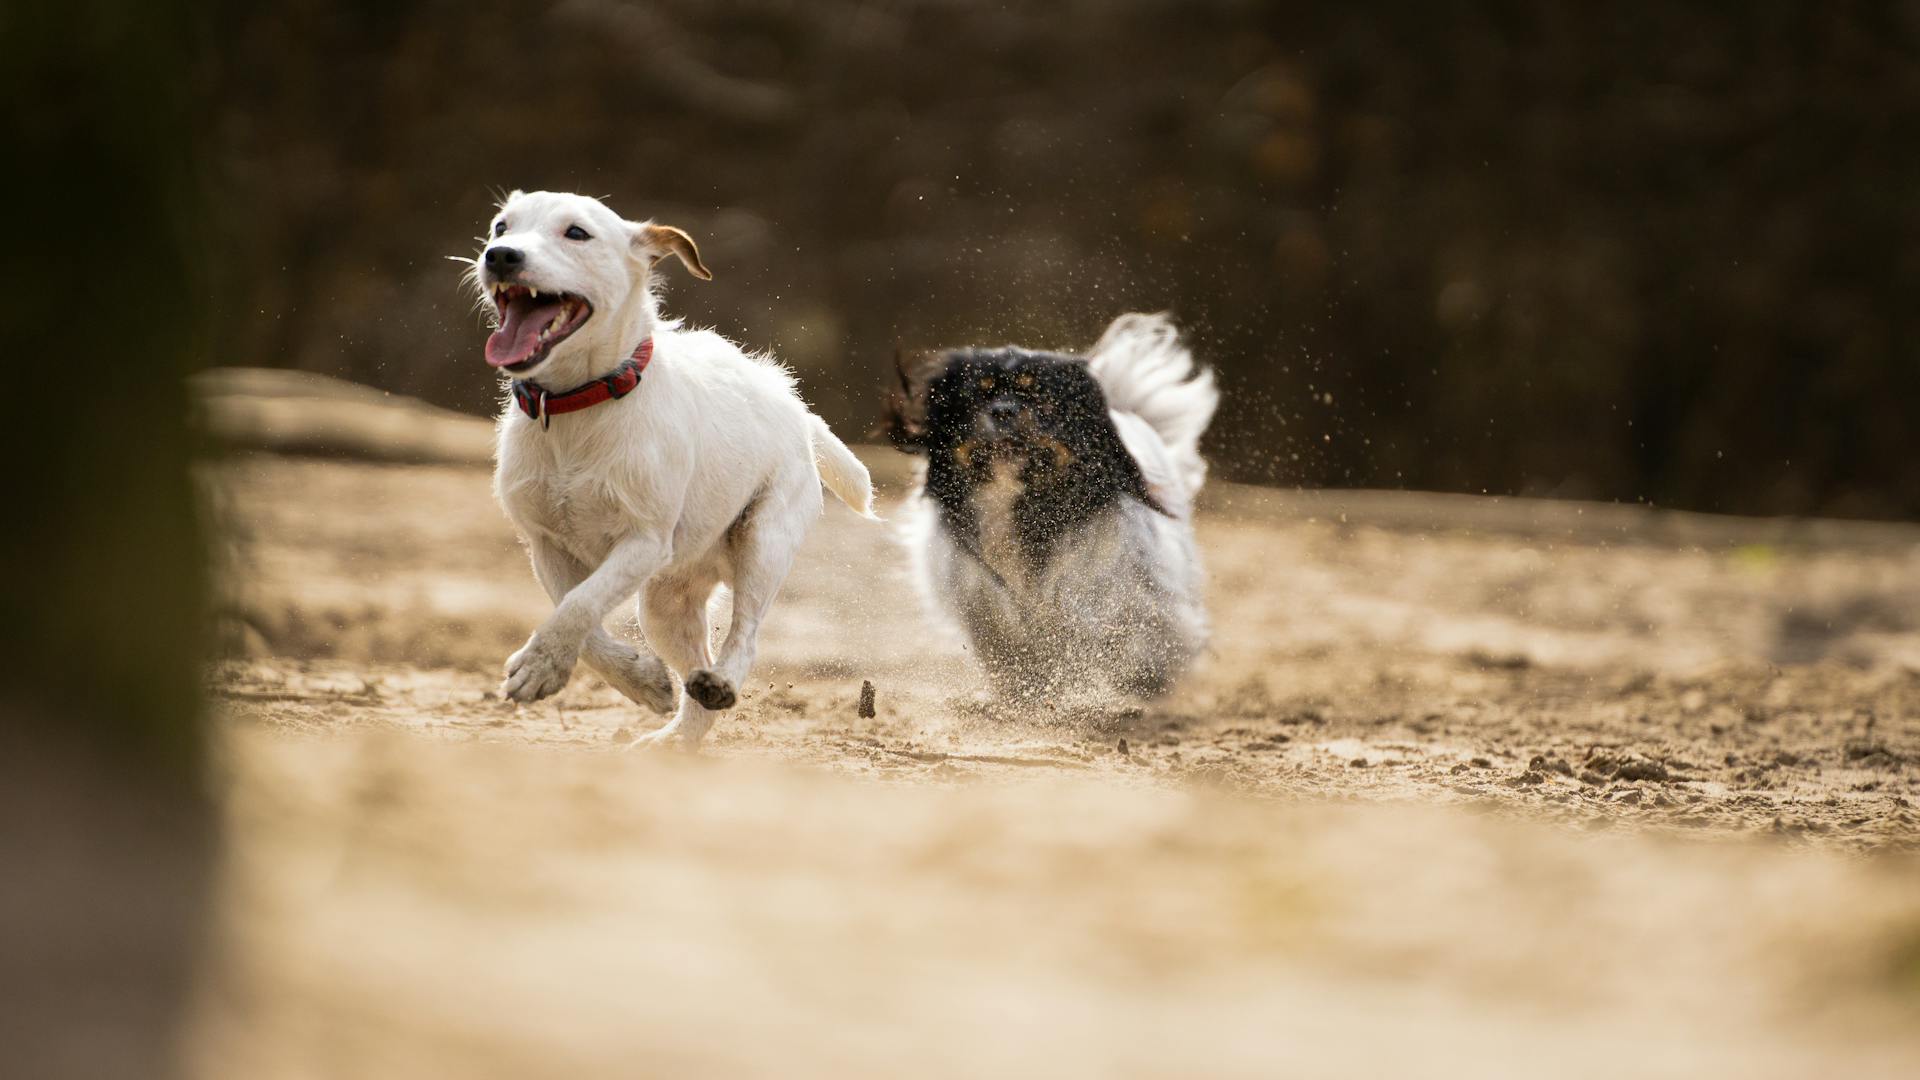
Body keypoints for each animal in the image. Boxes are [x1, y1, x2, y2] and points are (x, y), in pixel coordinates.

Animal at [468, 189, 875, 745]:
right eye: (500, 227)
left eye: (577, 233)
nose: (500, 256)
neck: (579, 402)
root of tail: (795, 405)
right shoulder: (546, 544)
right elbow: (578, 615)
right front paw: (639, 679)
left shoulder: (644, 540)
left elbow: (579, 605)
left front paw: (539, 667)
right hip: (665, 602)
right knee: (695, 673)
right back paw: (672, 741)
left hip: (764, 540)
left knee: (745, 635)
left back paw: (720, 685)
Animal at [890, 311, 1221, 703]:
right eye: (979, 396)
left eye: (1038, 397)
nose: (1003, 410)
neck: (1016, 503)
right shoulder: (984, 603)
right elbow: (1012, 651)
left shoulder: (1114, 589)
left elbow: (1121, 639)